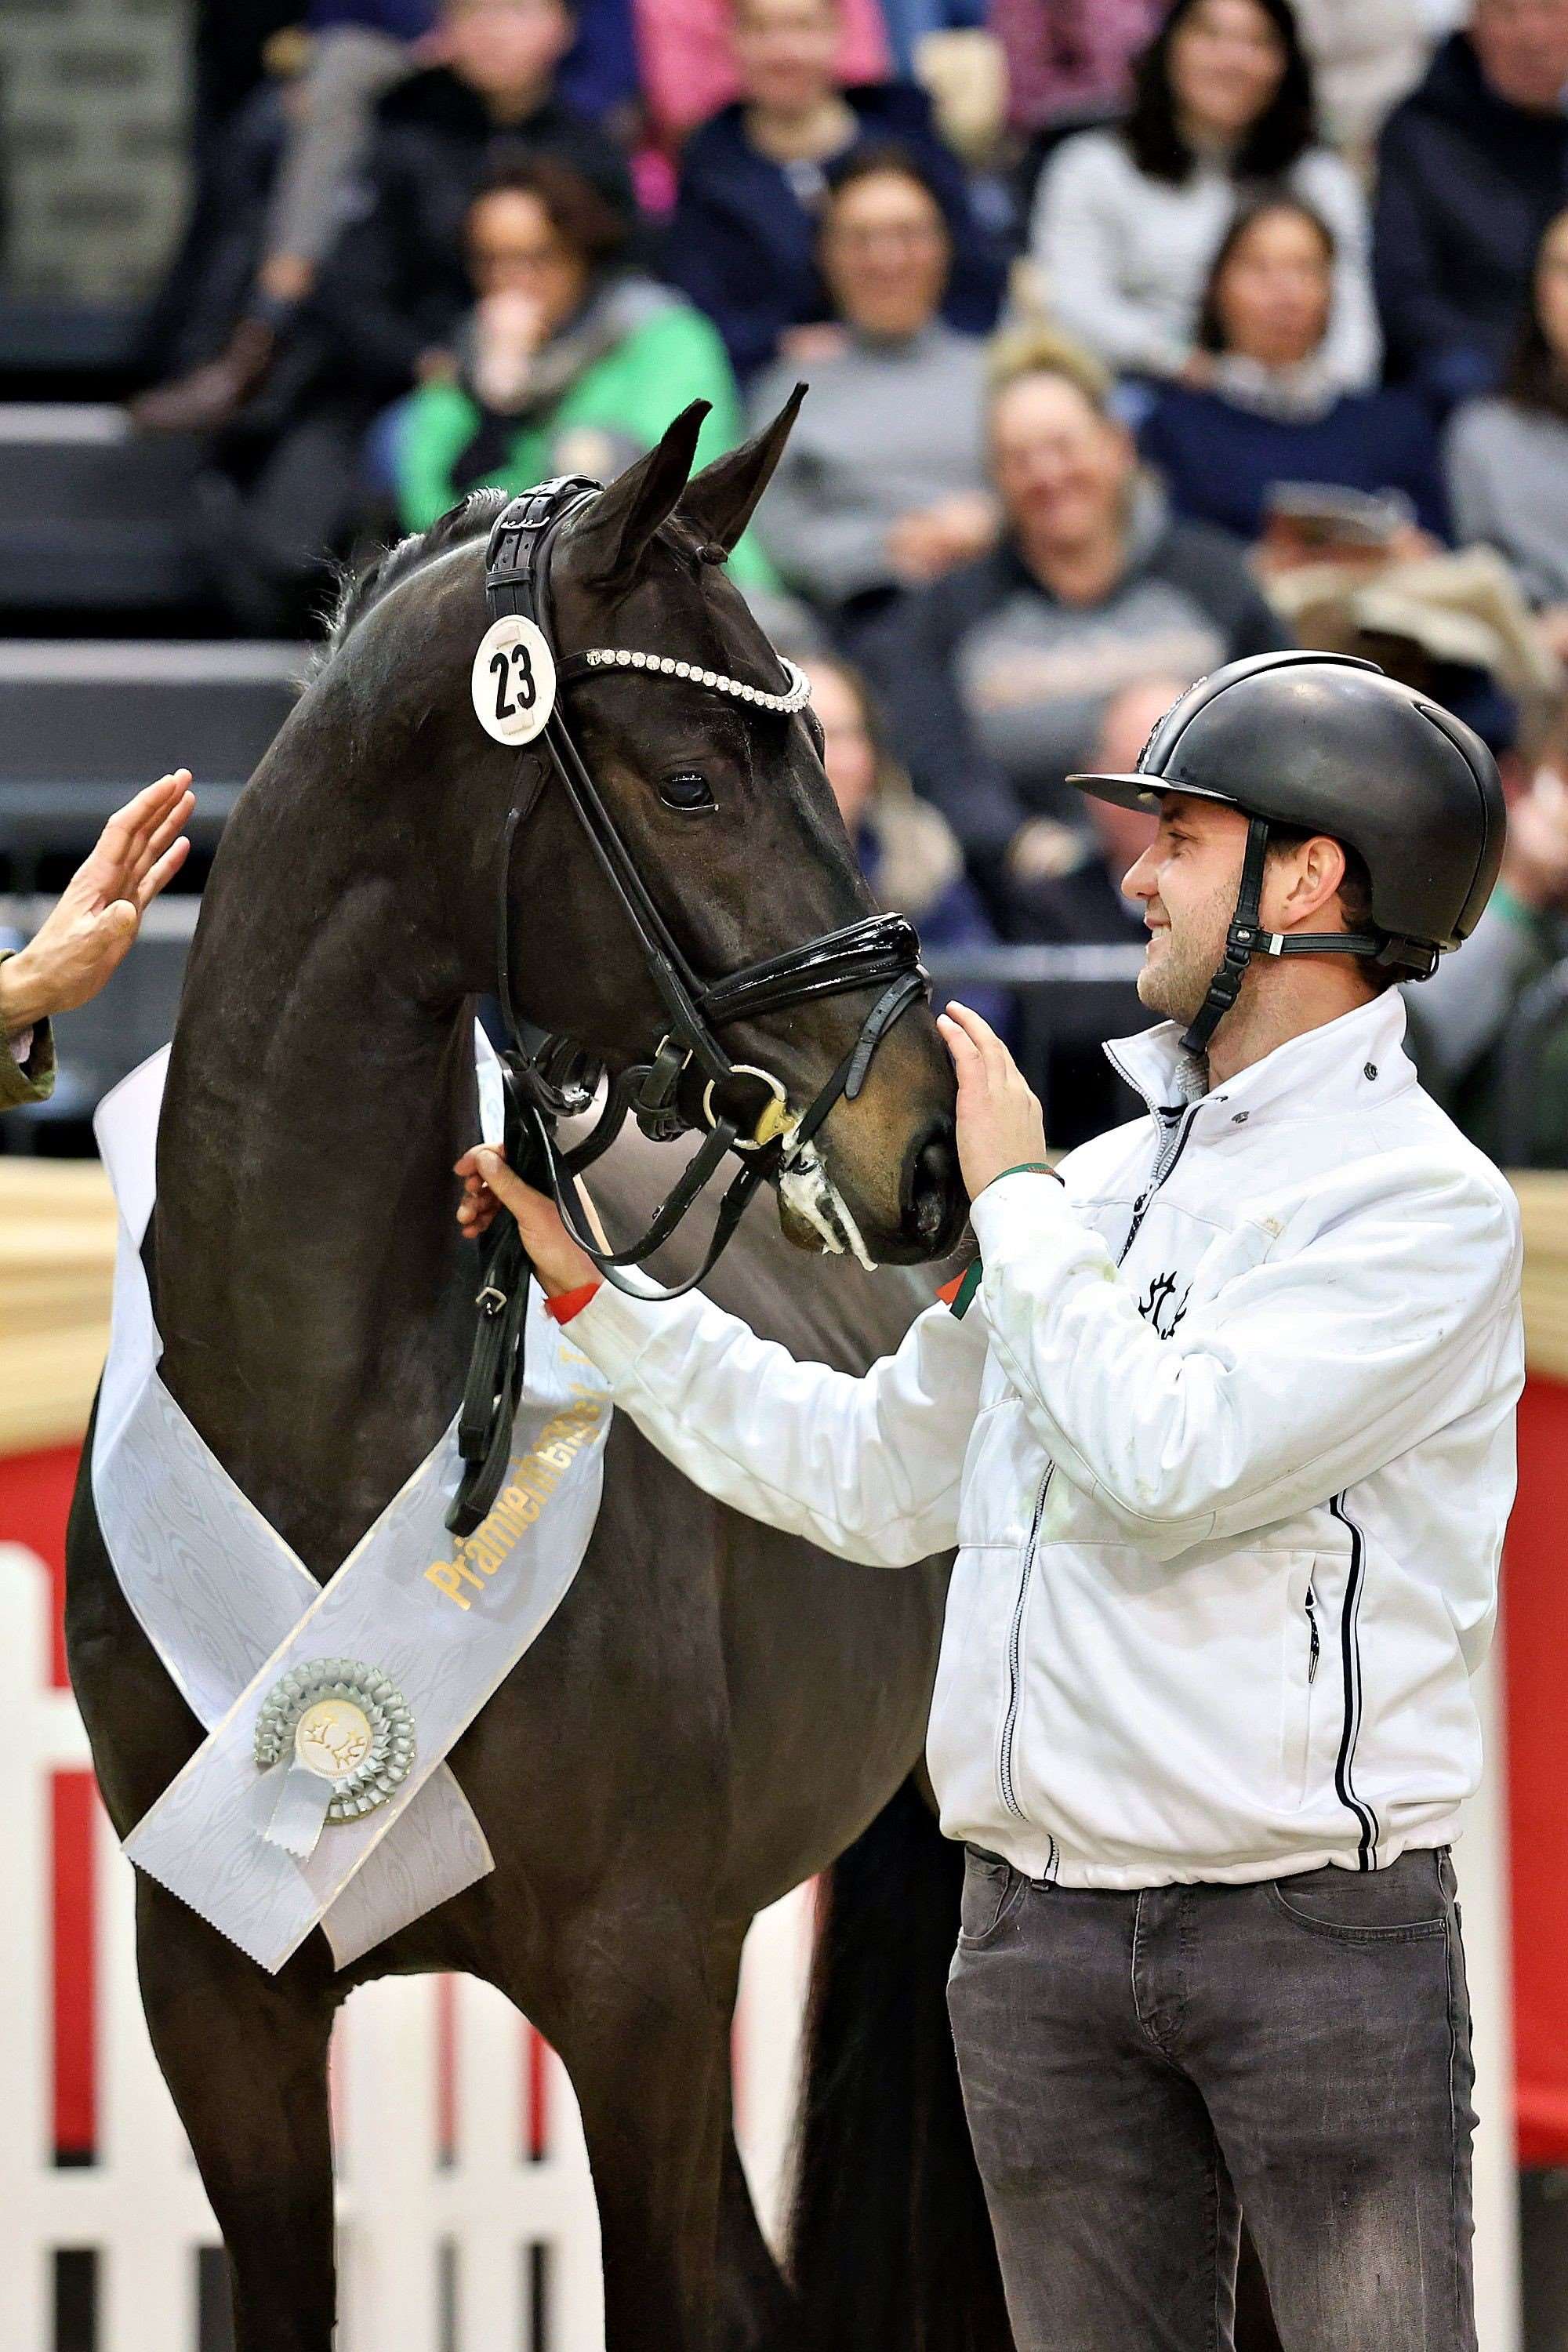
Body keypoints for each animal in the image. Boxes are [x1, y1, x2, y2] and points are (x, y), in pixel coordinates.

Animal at [64, 400, 1014, 2352]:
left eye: (813, 756)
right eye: (695, 783)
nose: (921, 1144)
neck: (326, 1416)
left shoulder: (638, 1991)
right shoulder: (216, 1989)